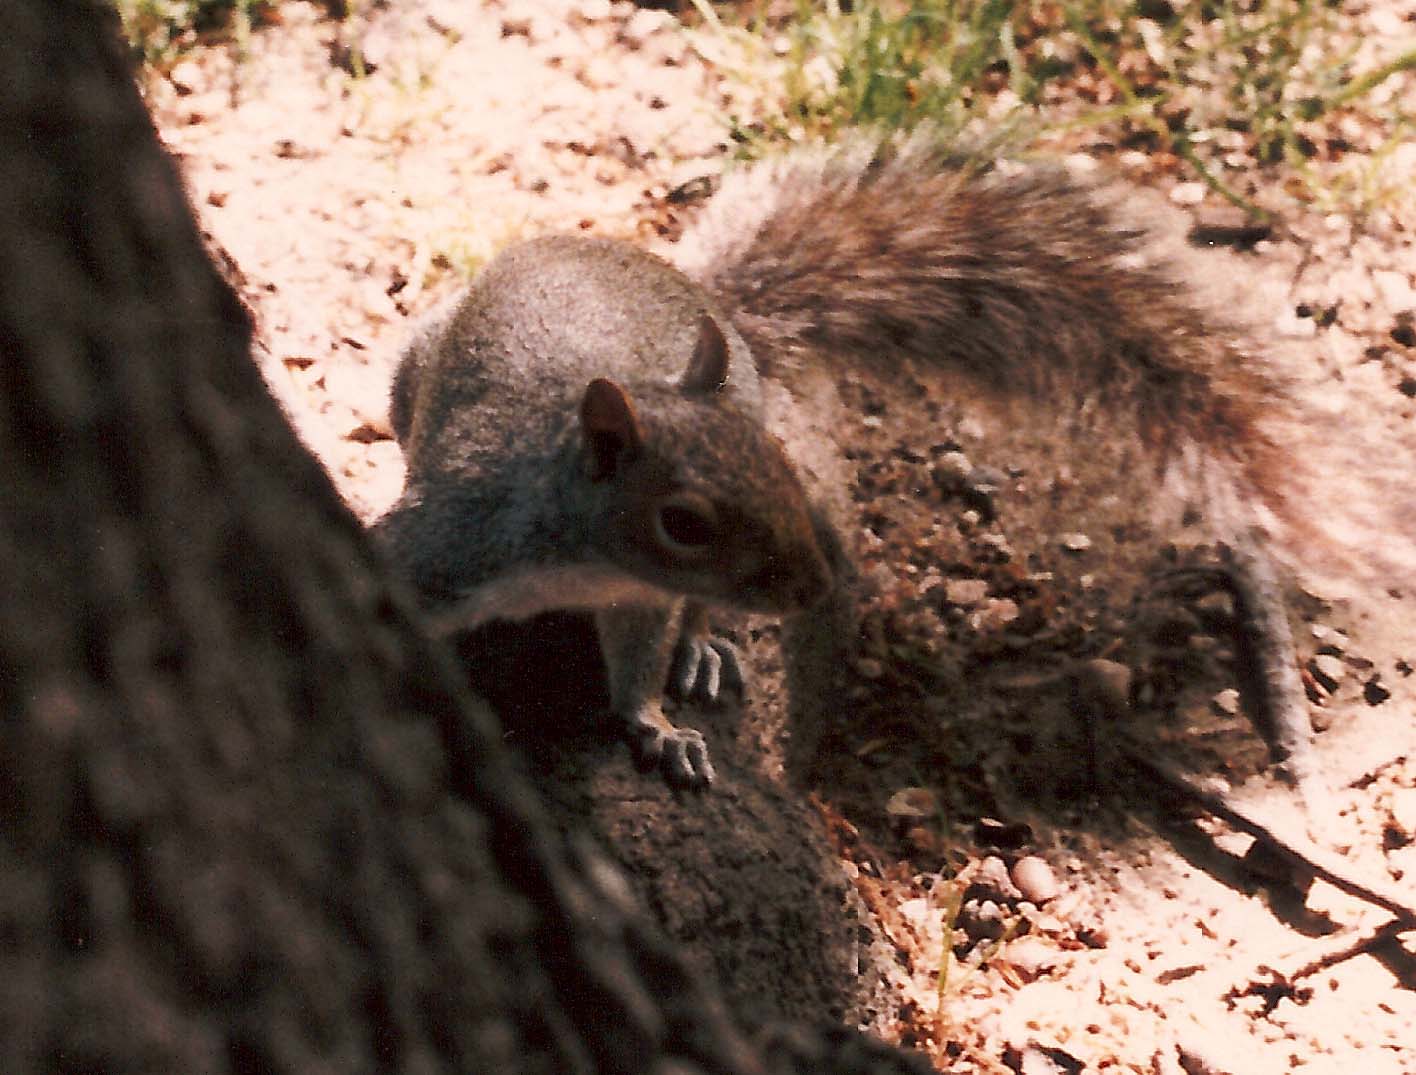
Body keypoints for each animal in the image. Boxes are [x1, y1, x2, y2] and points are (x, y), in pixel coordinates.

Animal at [376, 132, 1416, 793]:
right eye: (684, 521)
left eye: (780, 467)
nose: (812, 587)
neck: (578, 556)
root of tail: (698, 291)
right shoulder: (457, 542)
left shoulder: (637, 598)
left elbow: (637, 664)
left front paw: (657, 727)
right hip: (407, 372)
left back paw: (706, 648)